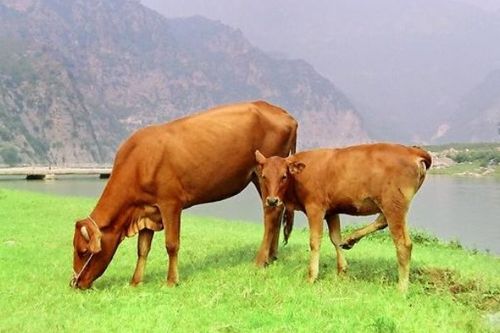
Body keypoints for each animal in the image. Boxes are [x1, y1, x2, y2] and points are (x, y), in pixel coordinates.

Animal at [70, 100, 296, 288]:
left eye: (83, 251)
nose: (75, 283)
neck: (139, 162)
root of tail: (283, 113)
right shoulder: (147, 211)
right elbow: (143, 248)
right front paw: (135, 281)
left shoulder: (170, 203)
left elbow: (171, 244)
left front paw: (171, 281)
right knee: (277, 212)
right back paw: (272, 257)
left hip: (264, 174)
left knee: (270, 214)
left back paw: (260, 260)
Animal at [256, 143, 432, 290]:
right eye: (264, 176)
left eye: (284, 176)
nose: (272, 200)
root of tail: (411, 150)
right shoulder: (332, 211)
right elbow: (335, 238)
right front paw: (342, 270)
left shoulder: (315, 208)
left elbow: (315, 241)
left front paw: (312, 276)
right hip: (389, 205)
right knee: (381, 221)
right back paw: (350, 239)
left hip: (394, 206)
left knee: (403, 245)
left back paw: (402, 288)